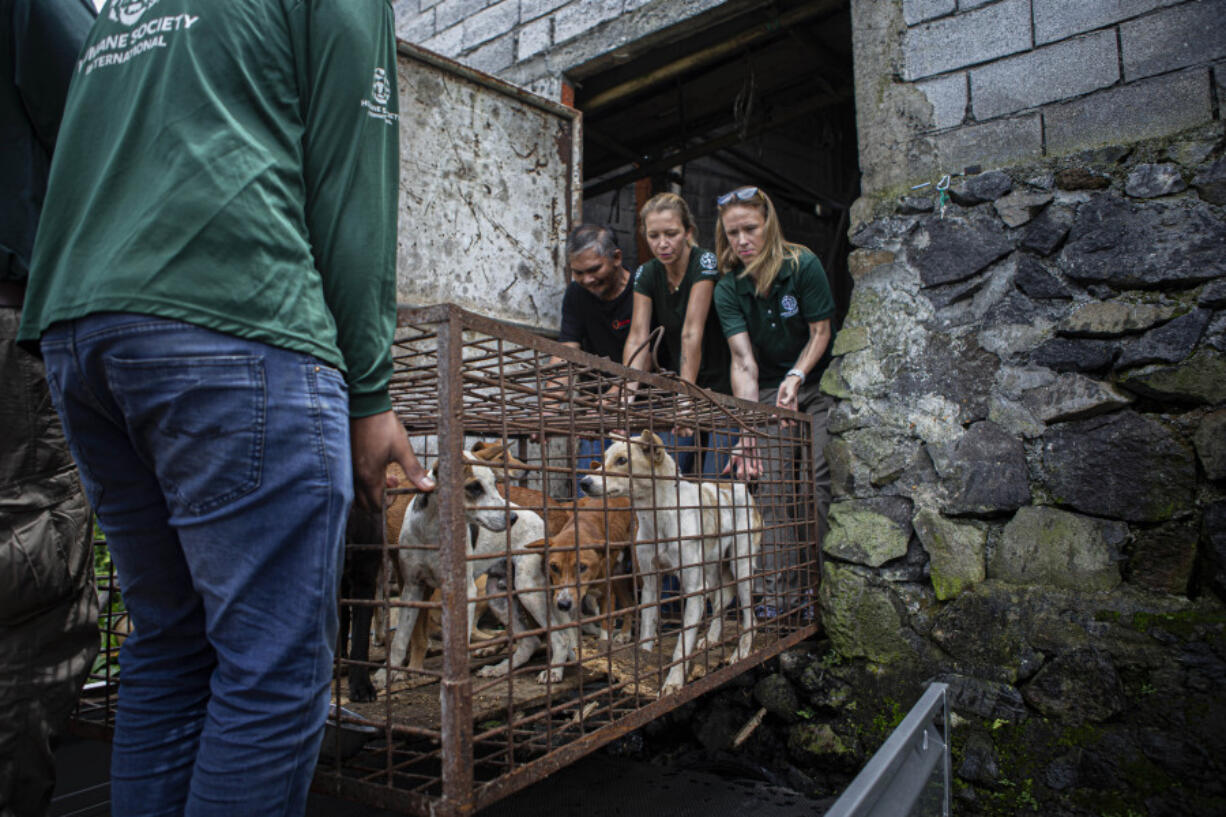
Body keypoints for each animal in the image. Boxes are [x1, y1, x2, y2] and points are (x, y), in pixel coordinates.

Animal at [578, 429, 760, 691]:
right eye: (602, 460)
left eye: (622, 460)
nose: (584, 482)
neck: (658, 514)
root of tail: (739, 487)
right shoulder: (651, 585)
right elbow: (646, 630)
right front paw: (644, 664)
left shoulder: (694, 589)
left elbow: (682, 645)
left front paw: (673, 683)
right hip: (712, 571)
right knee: (719, 604)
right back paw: (711, 638)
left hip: (741, 568)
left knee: (750, 618)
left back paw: (741, 652)